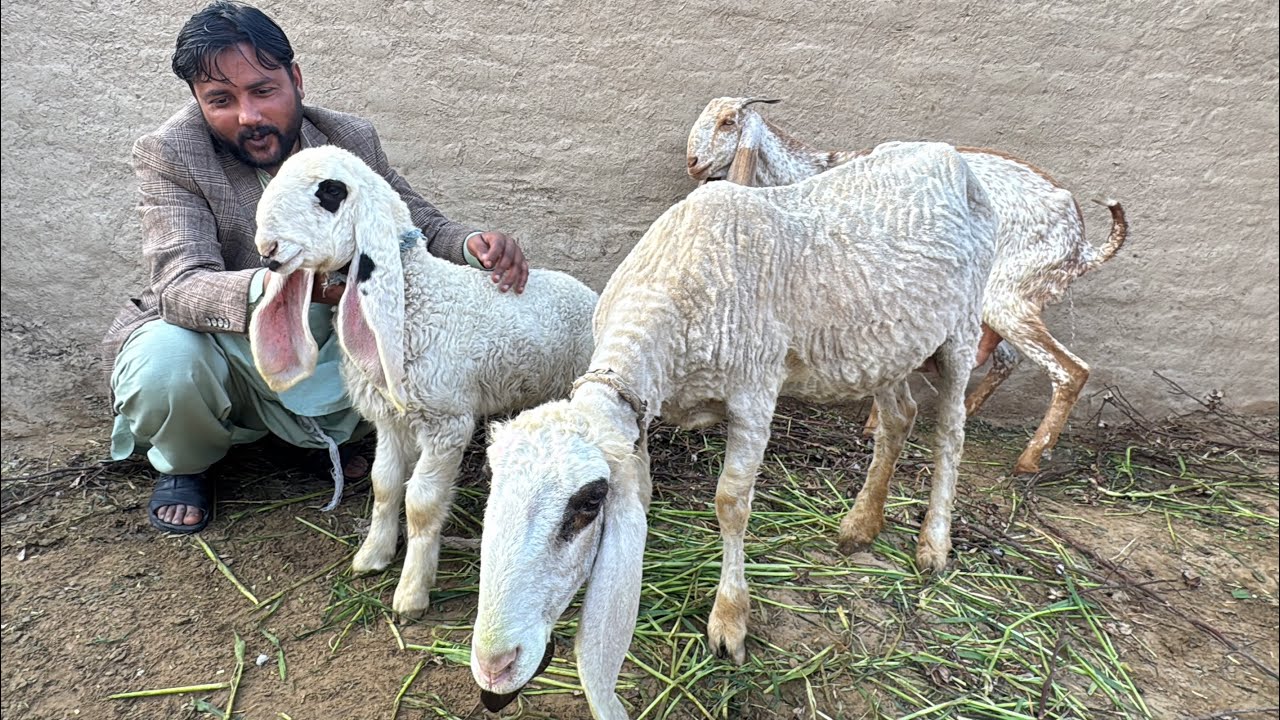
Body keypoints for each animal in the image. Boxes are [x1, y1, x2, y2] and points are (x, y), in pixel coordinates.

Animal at [247, 145, 597, 618]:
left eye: (331, 192)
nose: (267, 251)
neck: (416, 302)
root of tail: (589, 292)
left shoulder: (447, 422)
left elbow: (421, 504)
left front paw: (412, 592)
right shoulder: (390, 419)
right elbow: (383, 484)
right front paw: (372, 556)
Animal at [469, 141, 998, 719]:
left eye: (588, 504)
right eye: (491, 490)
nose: (495, 668)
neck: (667, 293)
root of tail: (947, 154)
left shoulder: (754, 396)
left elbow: (730, 503)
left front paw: (729, 619)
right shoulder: (642, 416)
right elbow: (647, 492)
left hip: (963, 327)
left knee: (950, 433)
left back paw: (934, 543)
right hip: (886, 346)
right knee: (900, 416)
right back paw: (861, 522)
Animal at [686, 96, 1128, 473]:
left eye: (728, 122)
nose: (692, 162)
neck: (815, 174)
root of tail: (1081, 247)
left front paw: (873, 422)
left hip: (1008, 296)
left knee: (1070, 370)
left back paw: (1028, 459)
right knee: (1007, 360)